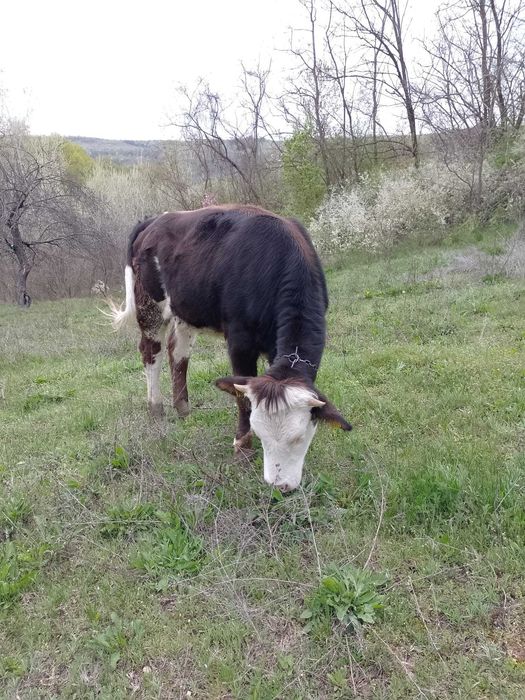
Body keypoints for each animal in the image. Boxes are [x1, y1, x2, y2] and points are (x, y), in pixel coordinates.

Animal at [109, 205, 351, 492]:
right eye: (260, 433)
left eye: (299, 437)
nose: (279, 486)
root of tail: (154, 219)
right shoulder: (239, 340)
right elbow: (241, 398)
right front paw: (242, 449)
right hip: (149, 305)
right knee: (150, 352)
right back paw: (156, 409)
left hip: (186, 308)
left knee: (177, 351)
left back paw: (183, 409)